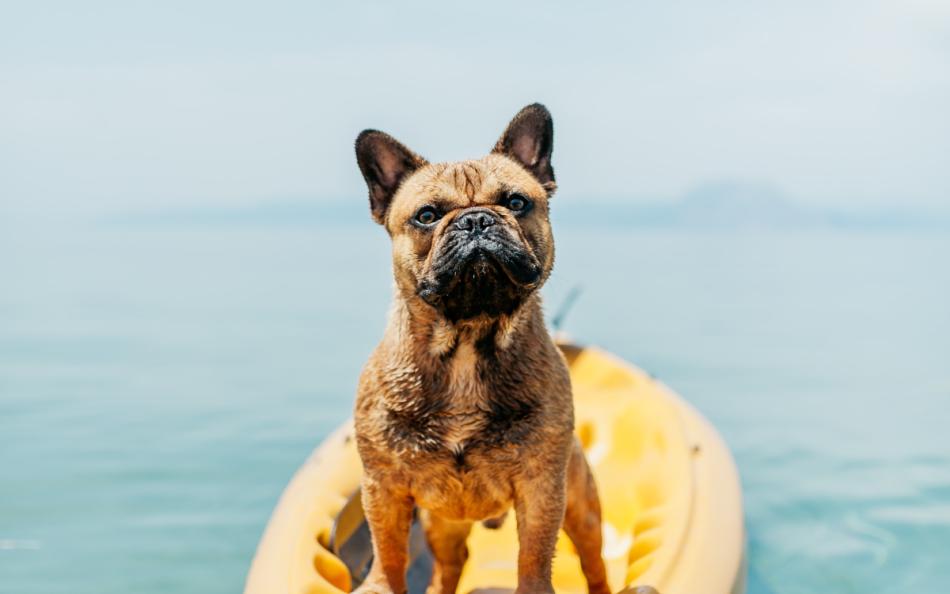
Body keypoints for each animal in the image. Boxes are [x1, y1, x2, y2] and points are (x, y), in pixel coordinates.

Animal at [352, 104, 608, 592]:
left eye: (516, 202)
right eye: (427, 215)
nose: (476, 219)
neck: (468, 341)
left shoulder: (541, 487)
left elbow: (533, 555)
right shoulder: (384, 487)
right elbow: (388, 550)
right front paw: (381, 584)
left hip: (581, 505)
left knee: (594, 561)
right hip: (442, 524)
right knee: (449, 566)